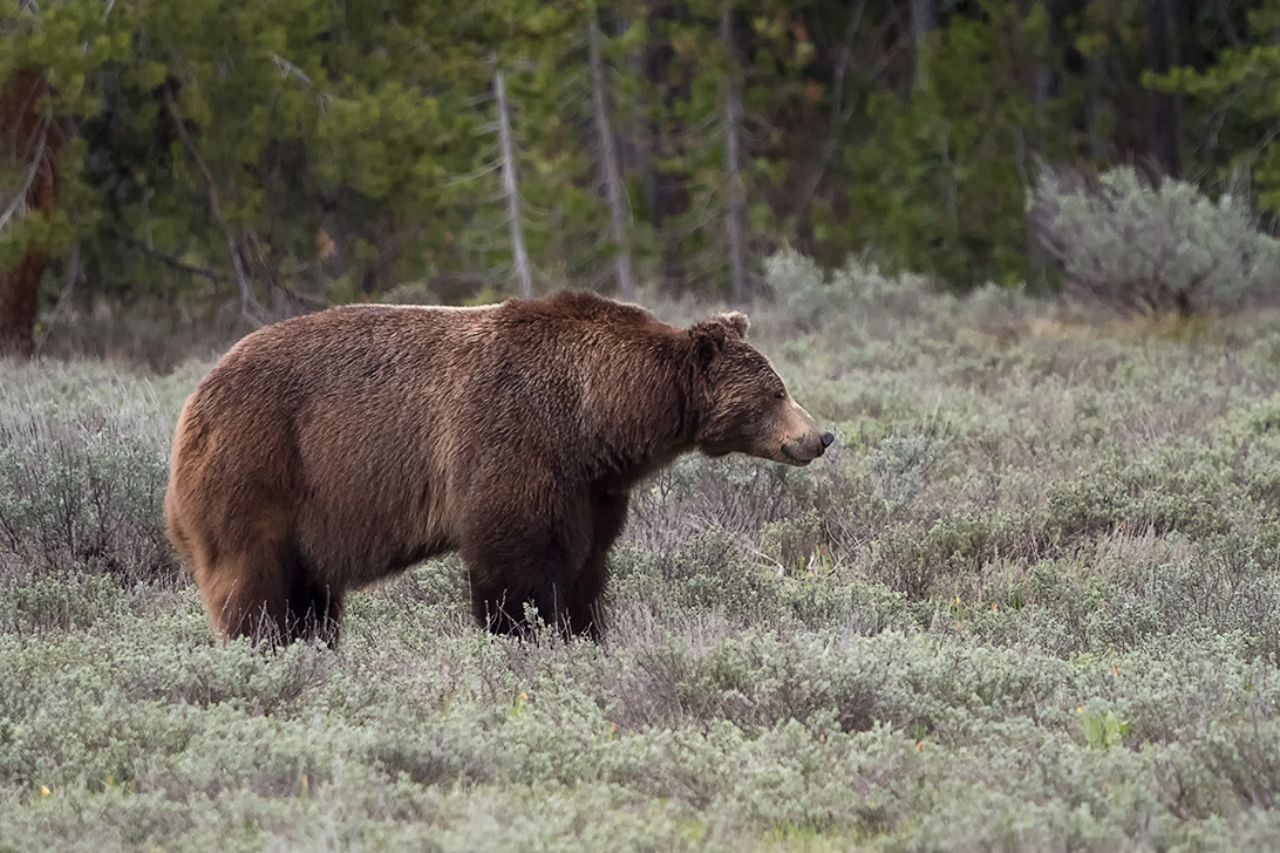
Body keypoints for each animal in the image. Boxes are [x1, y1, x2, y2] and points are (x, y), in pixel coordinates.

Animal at [164, 291, 833, 646]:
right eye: (776, 392)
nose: (821, 436)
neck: (598, 414)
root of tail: (194, 400)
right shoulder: (514, 443)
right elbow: (517, 560)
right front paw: (524, 632)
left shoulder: (590, 485)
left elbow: (587, 563)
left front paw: (585, 630)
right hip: (261, 467)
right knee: (255, 581)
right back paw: (264, 644)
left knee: (310, 593)